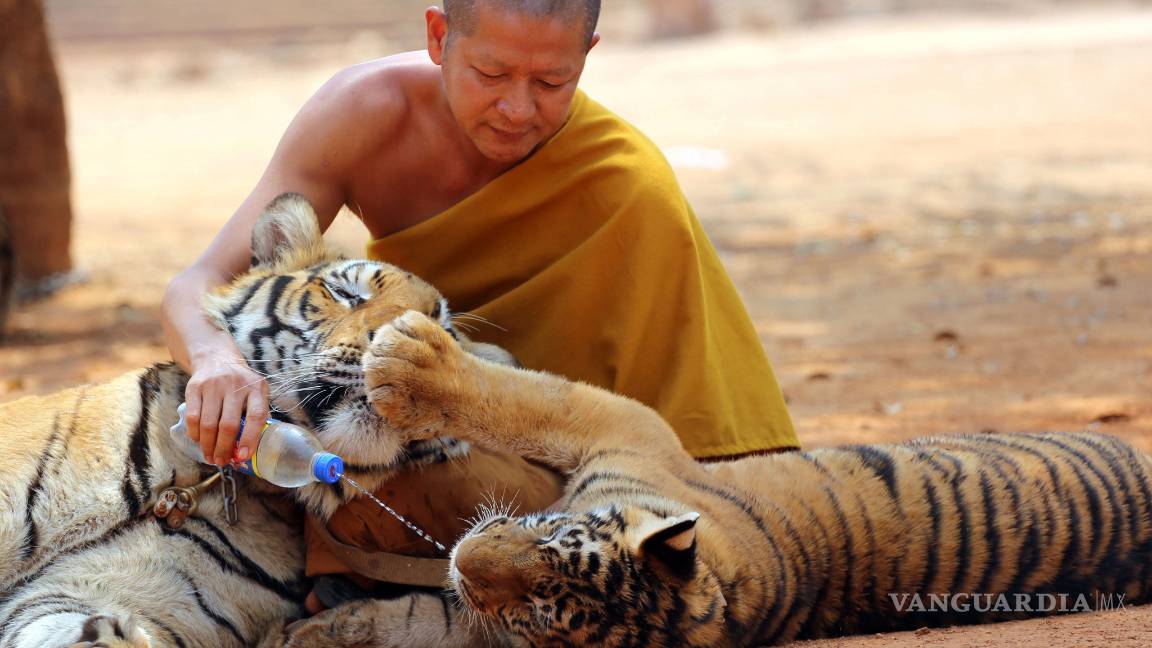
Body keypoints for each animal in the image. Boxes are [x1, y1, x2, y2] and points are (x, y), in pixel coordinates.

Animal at [273, 307, 1152, 647]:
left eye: (539, 612)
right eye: (551, 532)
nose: (463, 558)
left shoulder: (618, 426)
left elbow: (518, 398)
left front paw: (409, 360)